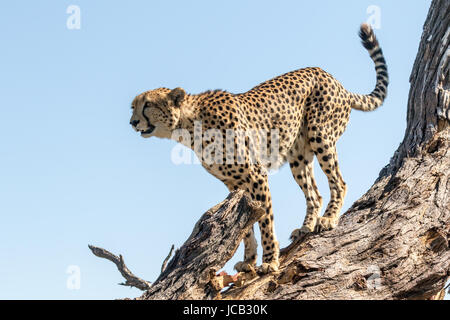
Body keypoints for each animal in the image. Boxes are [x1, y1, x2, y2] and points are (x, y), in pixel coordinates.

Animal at [129, 23, 386, 274]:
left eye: (147, 105)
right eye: (133, 106)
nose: (132, 121)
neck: (189, 125)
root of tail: (333, 79)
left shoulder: (256, 176)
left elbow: (265, 223)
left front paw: (270, 261)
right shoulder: (234, 184)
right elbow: (245, 228)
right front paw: (249, 261)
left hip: (320, 135)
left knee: (339, 182)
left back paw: (329, 219)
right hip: (298, 156)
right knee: (314, 193)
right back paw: (306, 226)